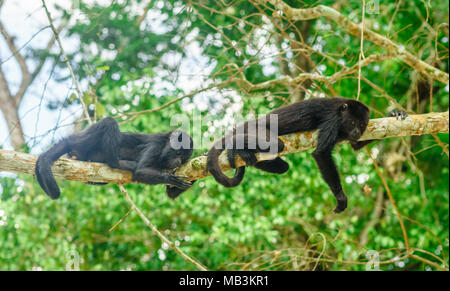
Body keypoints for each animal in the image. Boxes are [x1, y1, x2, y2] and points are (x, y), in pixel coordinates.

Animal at [35, 117, 193, 200]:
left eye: (185, 159)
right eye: (178, 153)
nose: (179, 161)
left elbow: (170, 194)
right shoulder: (155, 146)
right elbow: (141, 171)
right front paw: (169, 178)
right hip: (83, 142)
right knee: (109, 122)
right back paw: (117, 162)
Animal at [207, 97, 408, 213]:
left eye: (363, 124)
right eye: (353, 122)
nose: (357, 131)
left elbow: (355, 146)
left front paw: (395, 112)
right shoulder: (333, 119)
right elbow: (321, 154)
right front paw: (340, 197)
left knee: (283, 166)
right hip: (256, 129)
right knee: (276, 144)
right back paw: (236, 145)